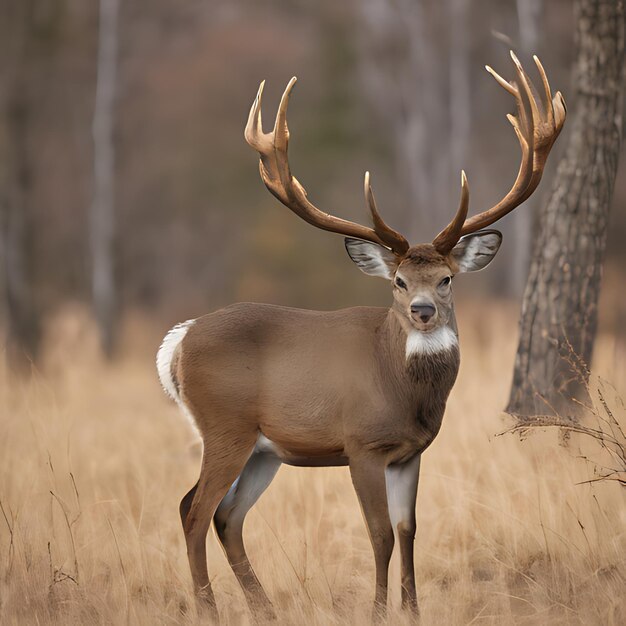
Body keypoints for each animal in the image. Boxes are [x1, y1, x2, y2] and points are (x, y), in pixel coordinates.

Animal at [157, 51, 564, 616]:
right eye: (398, 281)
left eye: (446, 279)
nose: (422, 310)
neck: (401, 388)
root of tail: (179, 339)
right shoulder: (361, 443)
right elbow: (379, 534)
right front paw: (378, 610)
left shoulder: (411, 452)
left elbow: (409, 529)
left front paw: (413, 610)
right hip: (224, 426)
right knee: (195, 511)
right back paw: (210, 610)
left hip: (263, 449)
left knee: (223, 516)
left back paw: (265, 609)